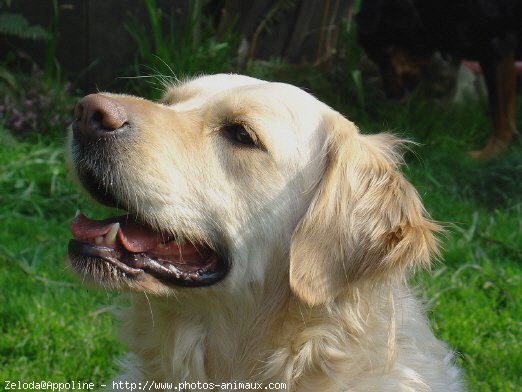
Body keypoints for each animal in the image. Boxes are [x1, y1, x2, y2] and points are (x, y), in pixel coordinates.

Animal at [356, 0, 516, 159]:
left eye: (382, 56)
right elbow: (505, 107)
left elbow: (498, 110)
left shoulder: (493, 48)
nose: (391, 95)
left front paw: (489, 153)